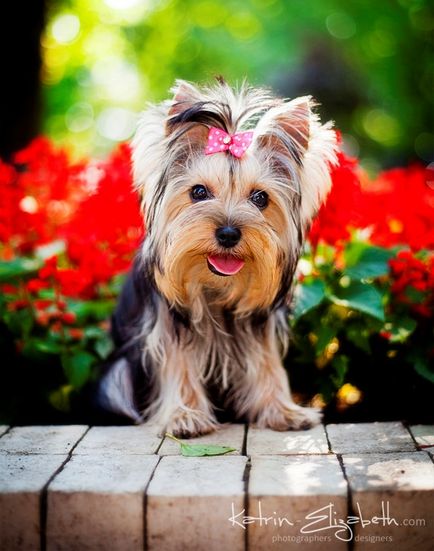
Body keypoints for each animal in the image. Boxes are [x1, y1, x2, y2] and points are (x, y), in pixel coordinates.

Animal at [96, 78, 338, 440]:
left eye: (260, 198)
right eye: (198, 192)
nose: (227, 233)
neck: (214, 284)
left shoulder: (260, 322)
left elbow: (266, 361)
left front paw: (283, 411)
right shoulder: (169, 322)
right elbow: (178, 361)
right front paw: (185, 416)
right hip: (118, 374)